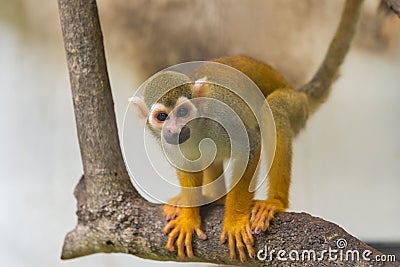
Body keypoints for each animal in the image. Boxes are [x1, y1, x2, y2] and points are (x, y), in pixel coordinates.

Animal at [130, 0, 362, 264]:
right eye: (162, 117)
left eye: (182, 112)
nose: (174, 129)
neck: (199, 125)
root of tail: (297, 90)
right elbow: (187, 165)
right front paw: (189, 217)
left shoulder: (223, 116)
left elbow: (250, 145)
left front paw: (234, 220)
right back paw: (213, 196)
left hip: (296, 107)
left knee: (275, 109)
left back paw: (274, 202)